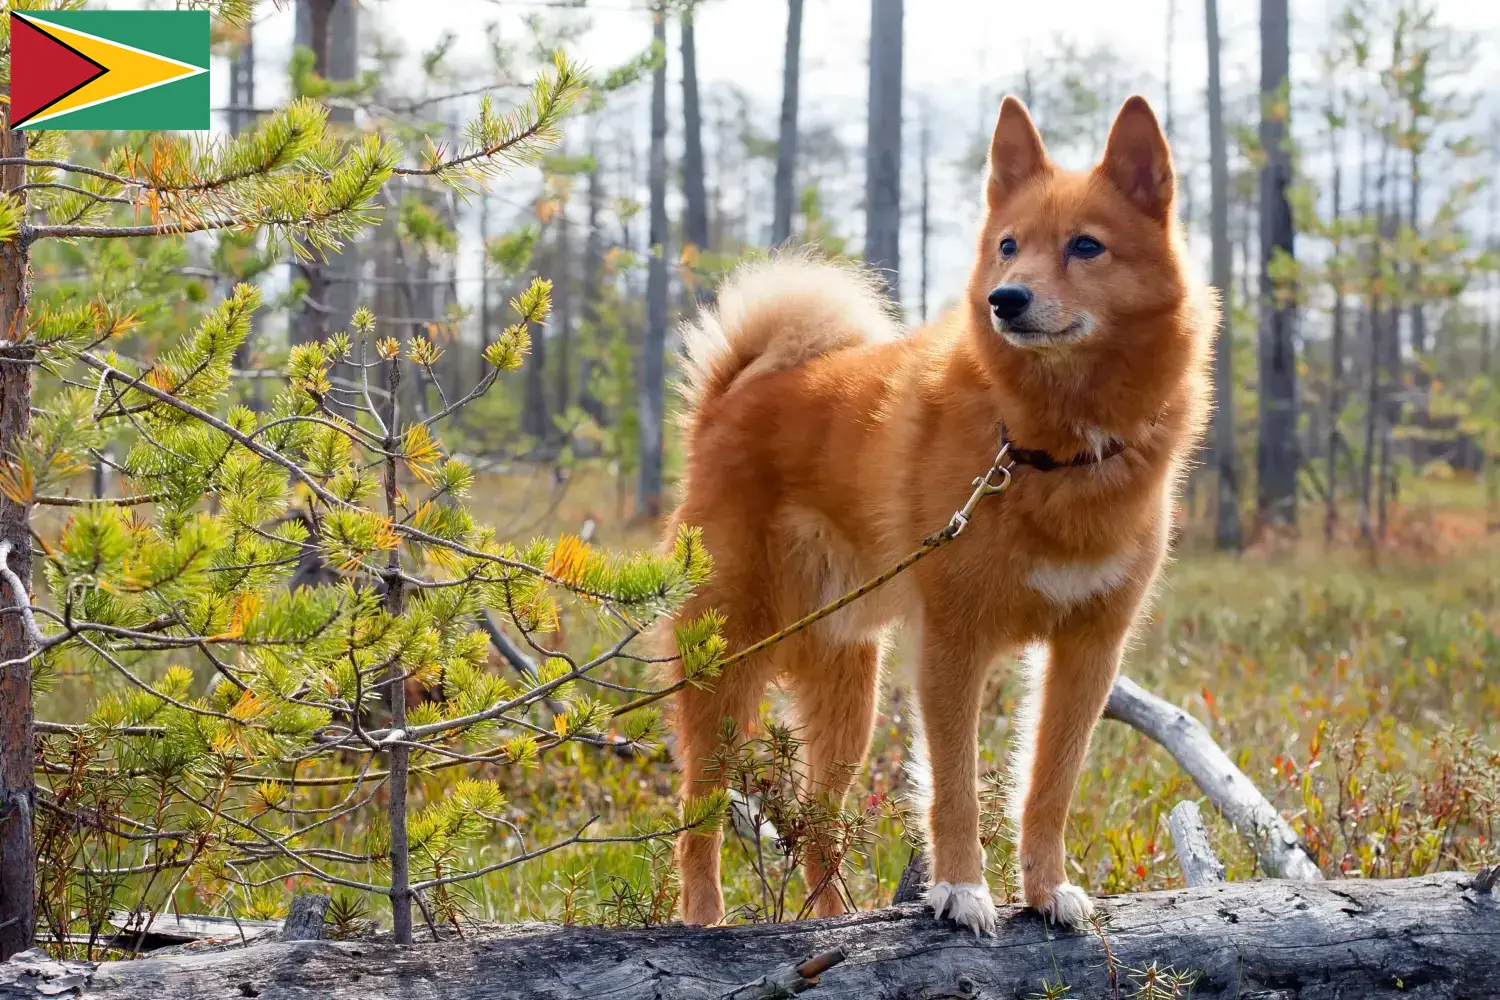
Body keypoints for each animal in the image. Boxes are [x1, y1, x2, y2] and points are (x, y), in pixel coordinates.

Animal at [663, 97, 1212, 935]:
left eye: (1086, 246)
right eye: (1008, 246)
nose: (1004, 299)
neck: (1045, 447)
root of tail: (732, 398)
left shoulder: (1088, 651)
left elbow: (1049, 788)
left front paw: (1049, 890)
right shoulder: (955, 644)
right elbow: (953, 788)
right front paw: (960, 889)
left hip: (847, 694)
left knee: (820, 826)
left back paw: (835, 920)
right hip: (729, 665)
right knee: (697, 816)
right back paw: (703, 920)